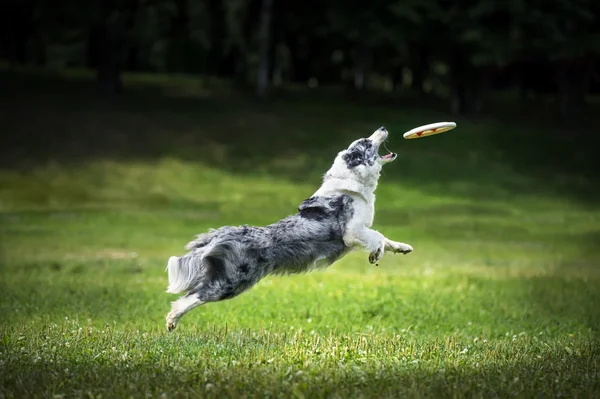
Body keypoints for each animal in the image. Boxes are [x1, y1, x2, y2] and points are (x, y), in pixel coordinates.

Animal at [164, 127, 412, 332]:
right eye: (366, 142)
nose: (383, 127)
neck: (354, 182)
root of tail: (225, 233)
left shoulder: (359, 231)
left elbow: (386, 238)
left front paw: (403, 247)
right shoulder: (352, 232)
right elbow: (377, 236)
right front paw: (375, 254)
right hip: (232, 281)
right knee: (191, 297)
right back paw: (171, 320)